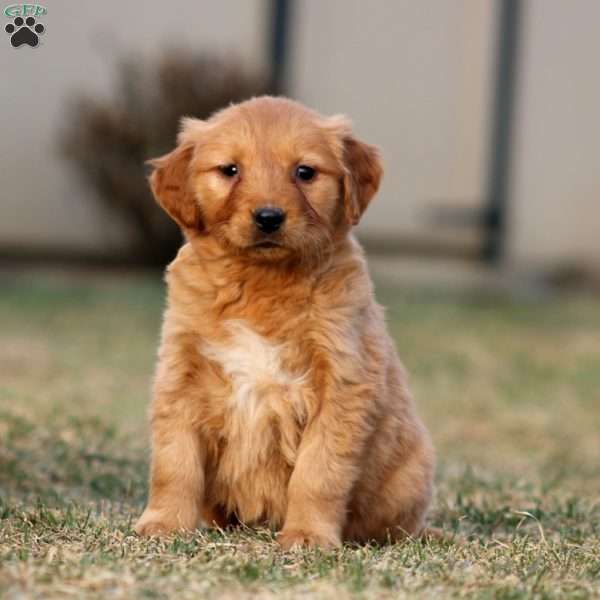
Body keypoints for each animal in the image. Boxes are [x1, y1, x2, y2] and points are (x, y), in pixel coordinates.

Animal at [135, 95, 434, 548]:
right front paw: (164, 523)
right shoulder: (180, 374)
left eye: (304, 172)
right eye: (230, 170)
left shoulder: (343, 384)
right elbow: (174, 462)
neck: (263, 281)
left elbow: (318, 471)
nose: (269, 217)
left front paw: (308, 535)